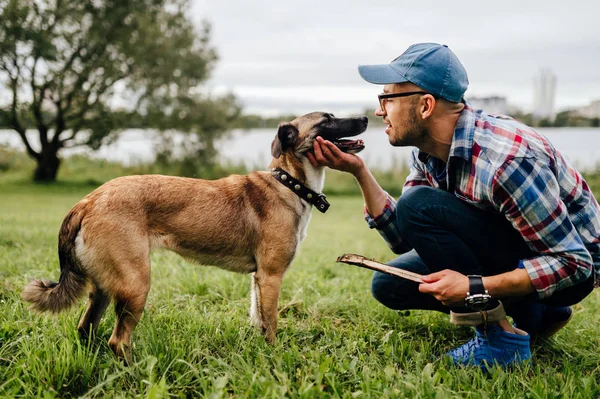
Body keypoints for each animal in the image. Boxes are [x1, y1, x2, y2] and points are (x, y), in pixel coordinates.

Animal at [23, 111, 368, 362]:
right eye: (327, 120)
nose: (366, 118)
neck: (288, 183)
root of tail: (89, 200)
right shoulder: (271, 276)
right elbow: (271, 325)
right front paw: (274, 358)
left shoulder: (258, 279)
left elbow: (258, 320)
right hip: (135, 284)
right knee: (117, 340)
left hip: (106, 286)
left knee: (86, 329)